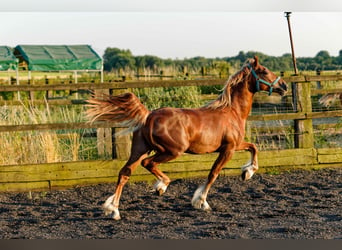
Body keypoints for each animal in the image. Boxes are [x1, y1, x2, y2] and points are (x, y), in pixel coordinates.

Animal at [85, 55, 286, 220]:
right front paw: (202, 202)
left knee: (124, 173)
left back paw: (114, 210)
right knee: (148, 163)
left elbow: (253, 147)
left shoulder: (235, 145)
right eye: (264, 71)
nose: (283, 86)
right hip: (172, 151)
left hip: (140, 149)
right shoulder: (228, 149)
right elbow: (213, 174)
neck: (232, 111)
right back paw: (161, 186)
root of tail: (149, 115)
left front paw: (247, 173)